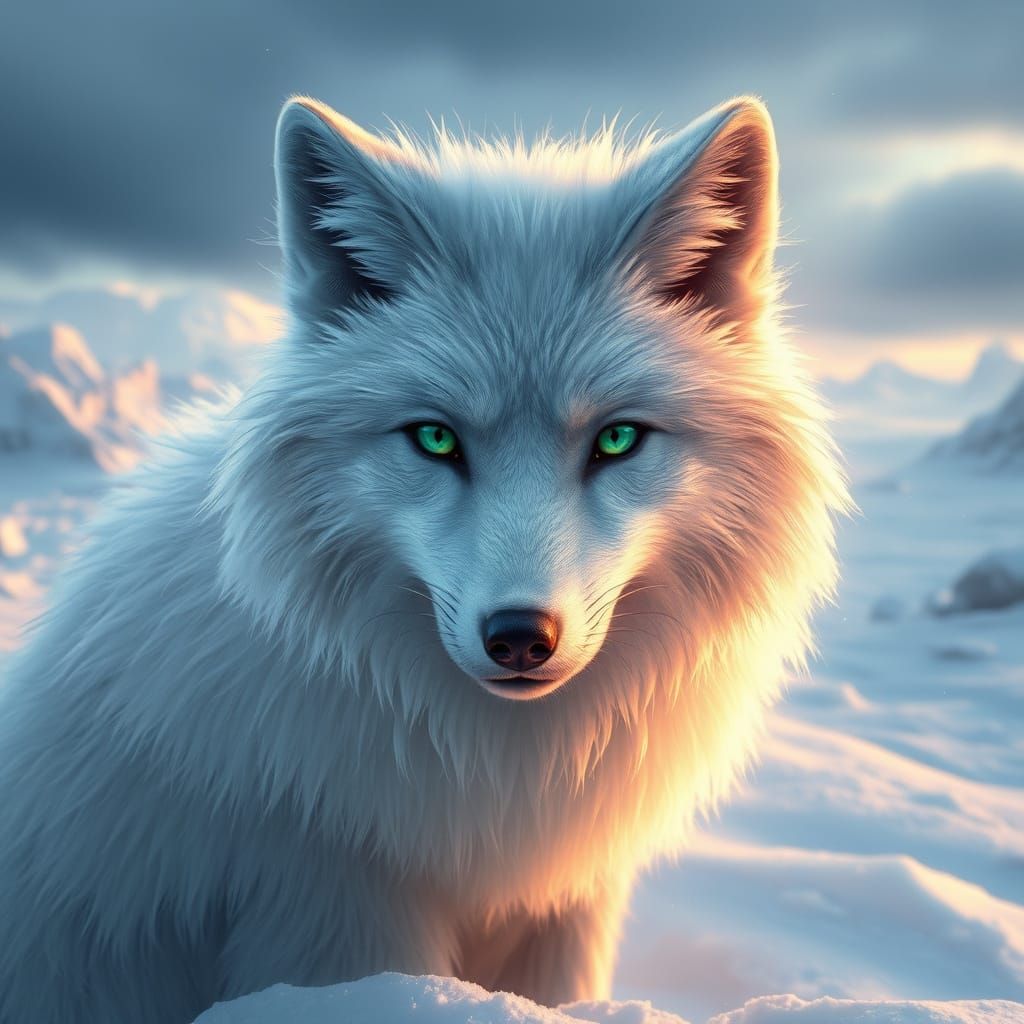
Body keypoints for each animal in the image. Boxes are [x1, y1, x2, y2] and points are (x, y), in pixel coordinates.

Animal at [0, 94, 848, 1023]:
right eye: (436, 439)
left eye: (618, 439)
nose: (520, 636)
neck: (502, 773)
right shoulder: (334, 910)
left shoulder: (571, 906)